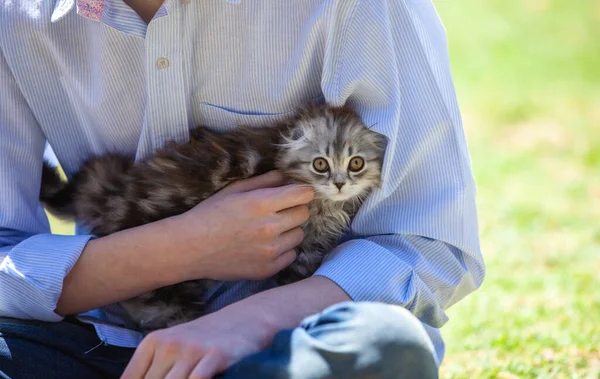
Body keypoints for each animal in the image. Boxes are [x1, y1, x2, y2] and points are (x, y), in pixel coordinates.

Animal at [42, 104, 390, 332]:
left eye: (356, 163)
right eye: (320, 164)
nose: (340, 183)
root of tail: (118, 195)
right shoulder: (300, 251)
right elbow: (288, 284)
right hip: (167, 293)